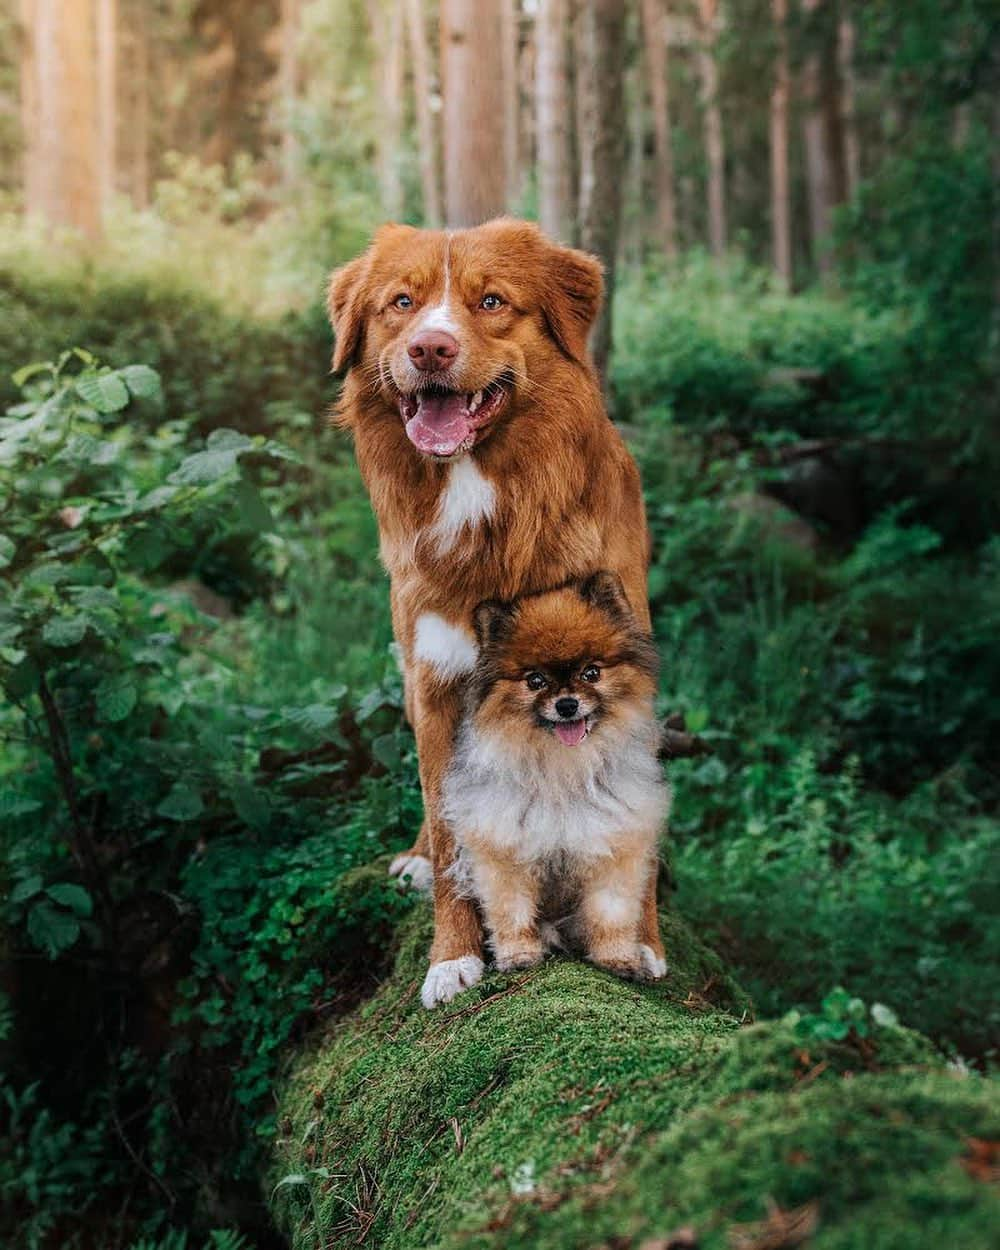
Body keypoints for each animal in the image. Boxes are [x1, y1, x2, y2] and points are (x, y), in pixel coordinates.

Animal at [442, 572, 670, 980]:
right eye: (535, 680)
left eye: (591, 673)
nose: (566, 704)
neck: (563, 769)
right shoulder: (505, 851)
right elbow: (512, 912)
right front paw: (518, 955)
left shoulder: (612, 846)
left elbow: (611, 914)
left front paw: (617, 959)